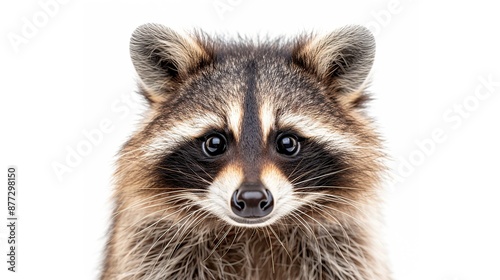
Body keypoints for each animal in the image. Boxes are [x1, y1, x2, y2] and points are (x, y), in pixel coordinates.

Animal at [101, 24, 388, 280]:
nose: (251, 198)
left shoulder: (344, 249)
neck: (253, 232)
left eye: (287, 143)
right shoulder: (151, 248)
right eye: (214, 143)